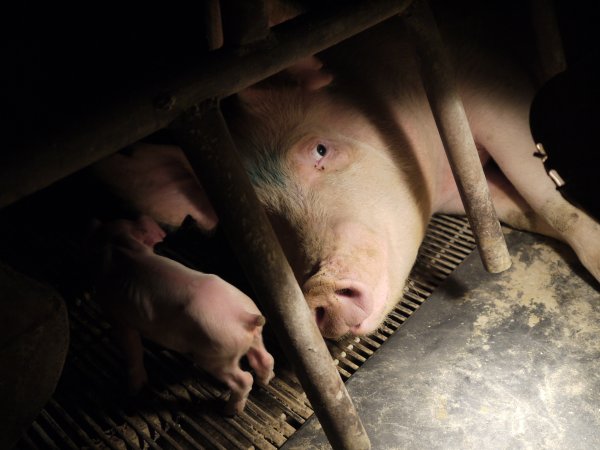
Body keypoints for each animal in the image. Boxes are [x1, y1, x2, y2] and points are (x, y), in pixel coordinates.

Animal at [91, 214, 274, 414]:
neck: (121, 246)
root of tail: (245, 316)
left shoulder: (119, 317)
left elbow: (132, 350)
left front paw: (133, 391)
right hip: (254, 337)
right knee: (265, 359)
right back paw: (265, 381)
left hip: (217, 355)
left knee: (244, 379)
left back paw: (230, 411)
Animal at [221, 11, 600, 338]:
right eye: (267, 219)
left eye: (320, 150)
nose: (321, 289)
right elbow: (520, 211)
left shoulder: (492, 89)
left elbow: (546, 198)